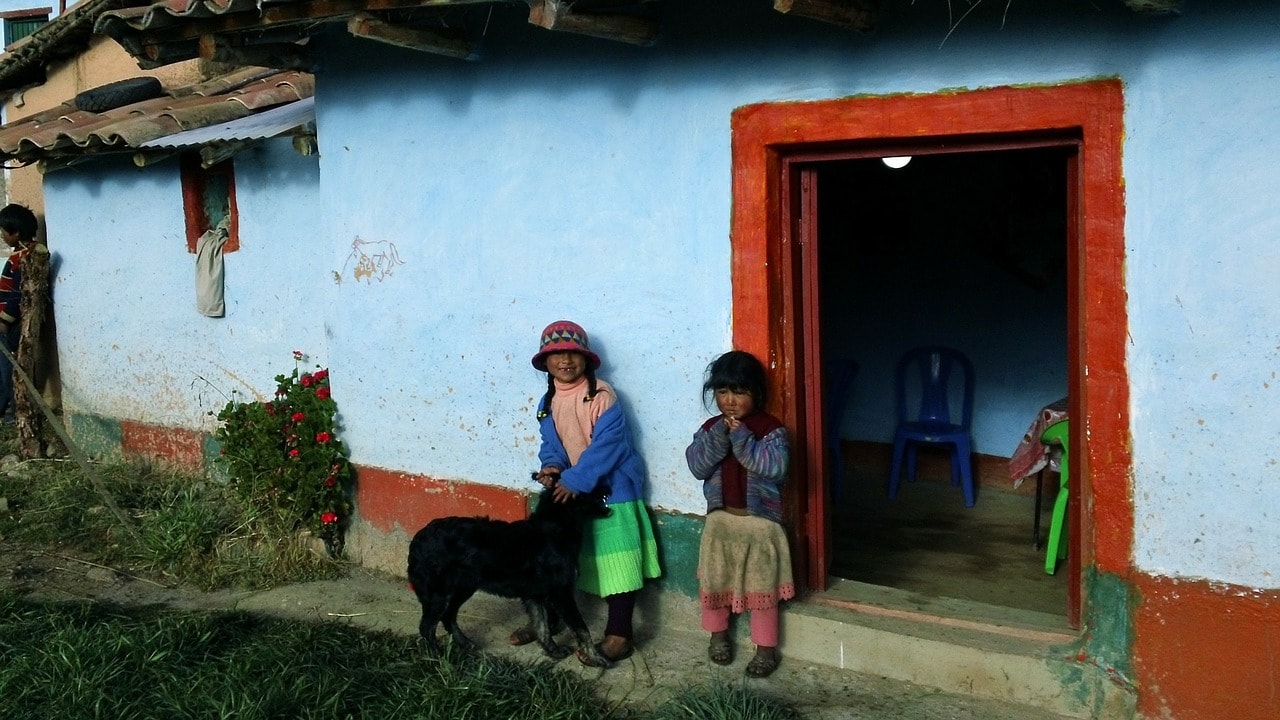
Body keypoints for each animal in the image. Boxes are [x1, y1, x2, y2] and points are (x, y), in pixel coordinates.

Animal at [407, 479, 611, 666]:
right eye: (592, 484)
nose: (609, 486)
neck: (556, 525)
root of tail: (417, 539)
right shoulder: (561, 594)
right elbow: (582, 629)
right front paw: (597, 658)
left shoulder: (535, 595)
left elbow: (542, 628)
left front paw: (553, 651)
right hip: (439, 594)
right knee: (427, 627)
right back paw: (438, 658)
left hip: (462, 588)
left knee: (448, 617)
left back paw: (464, 644)